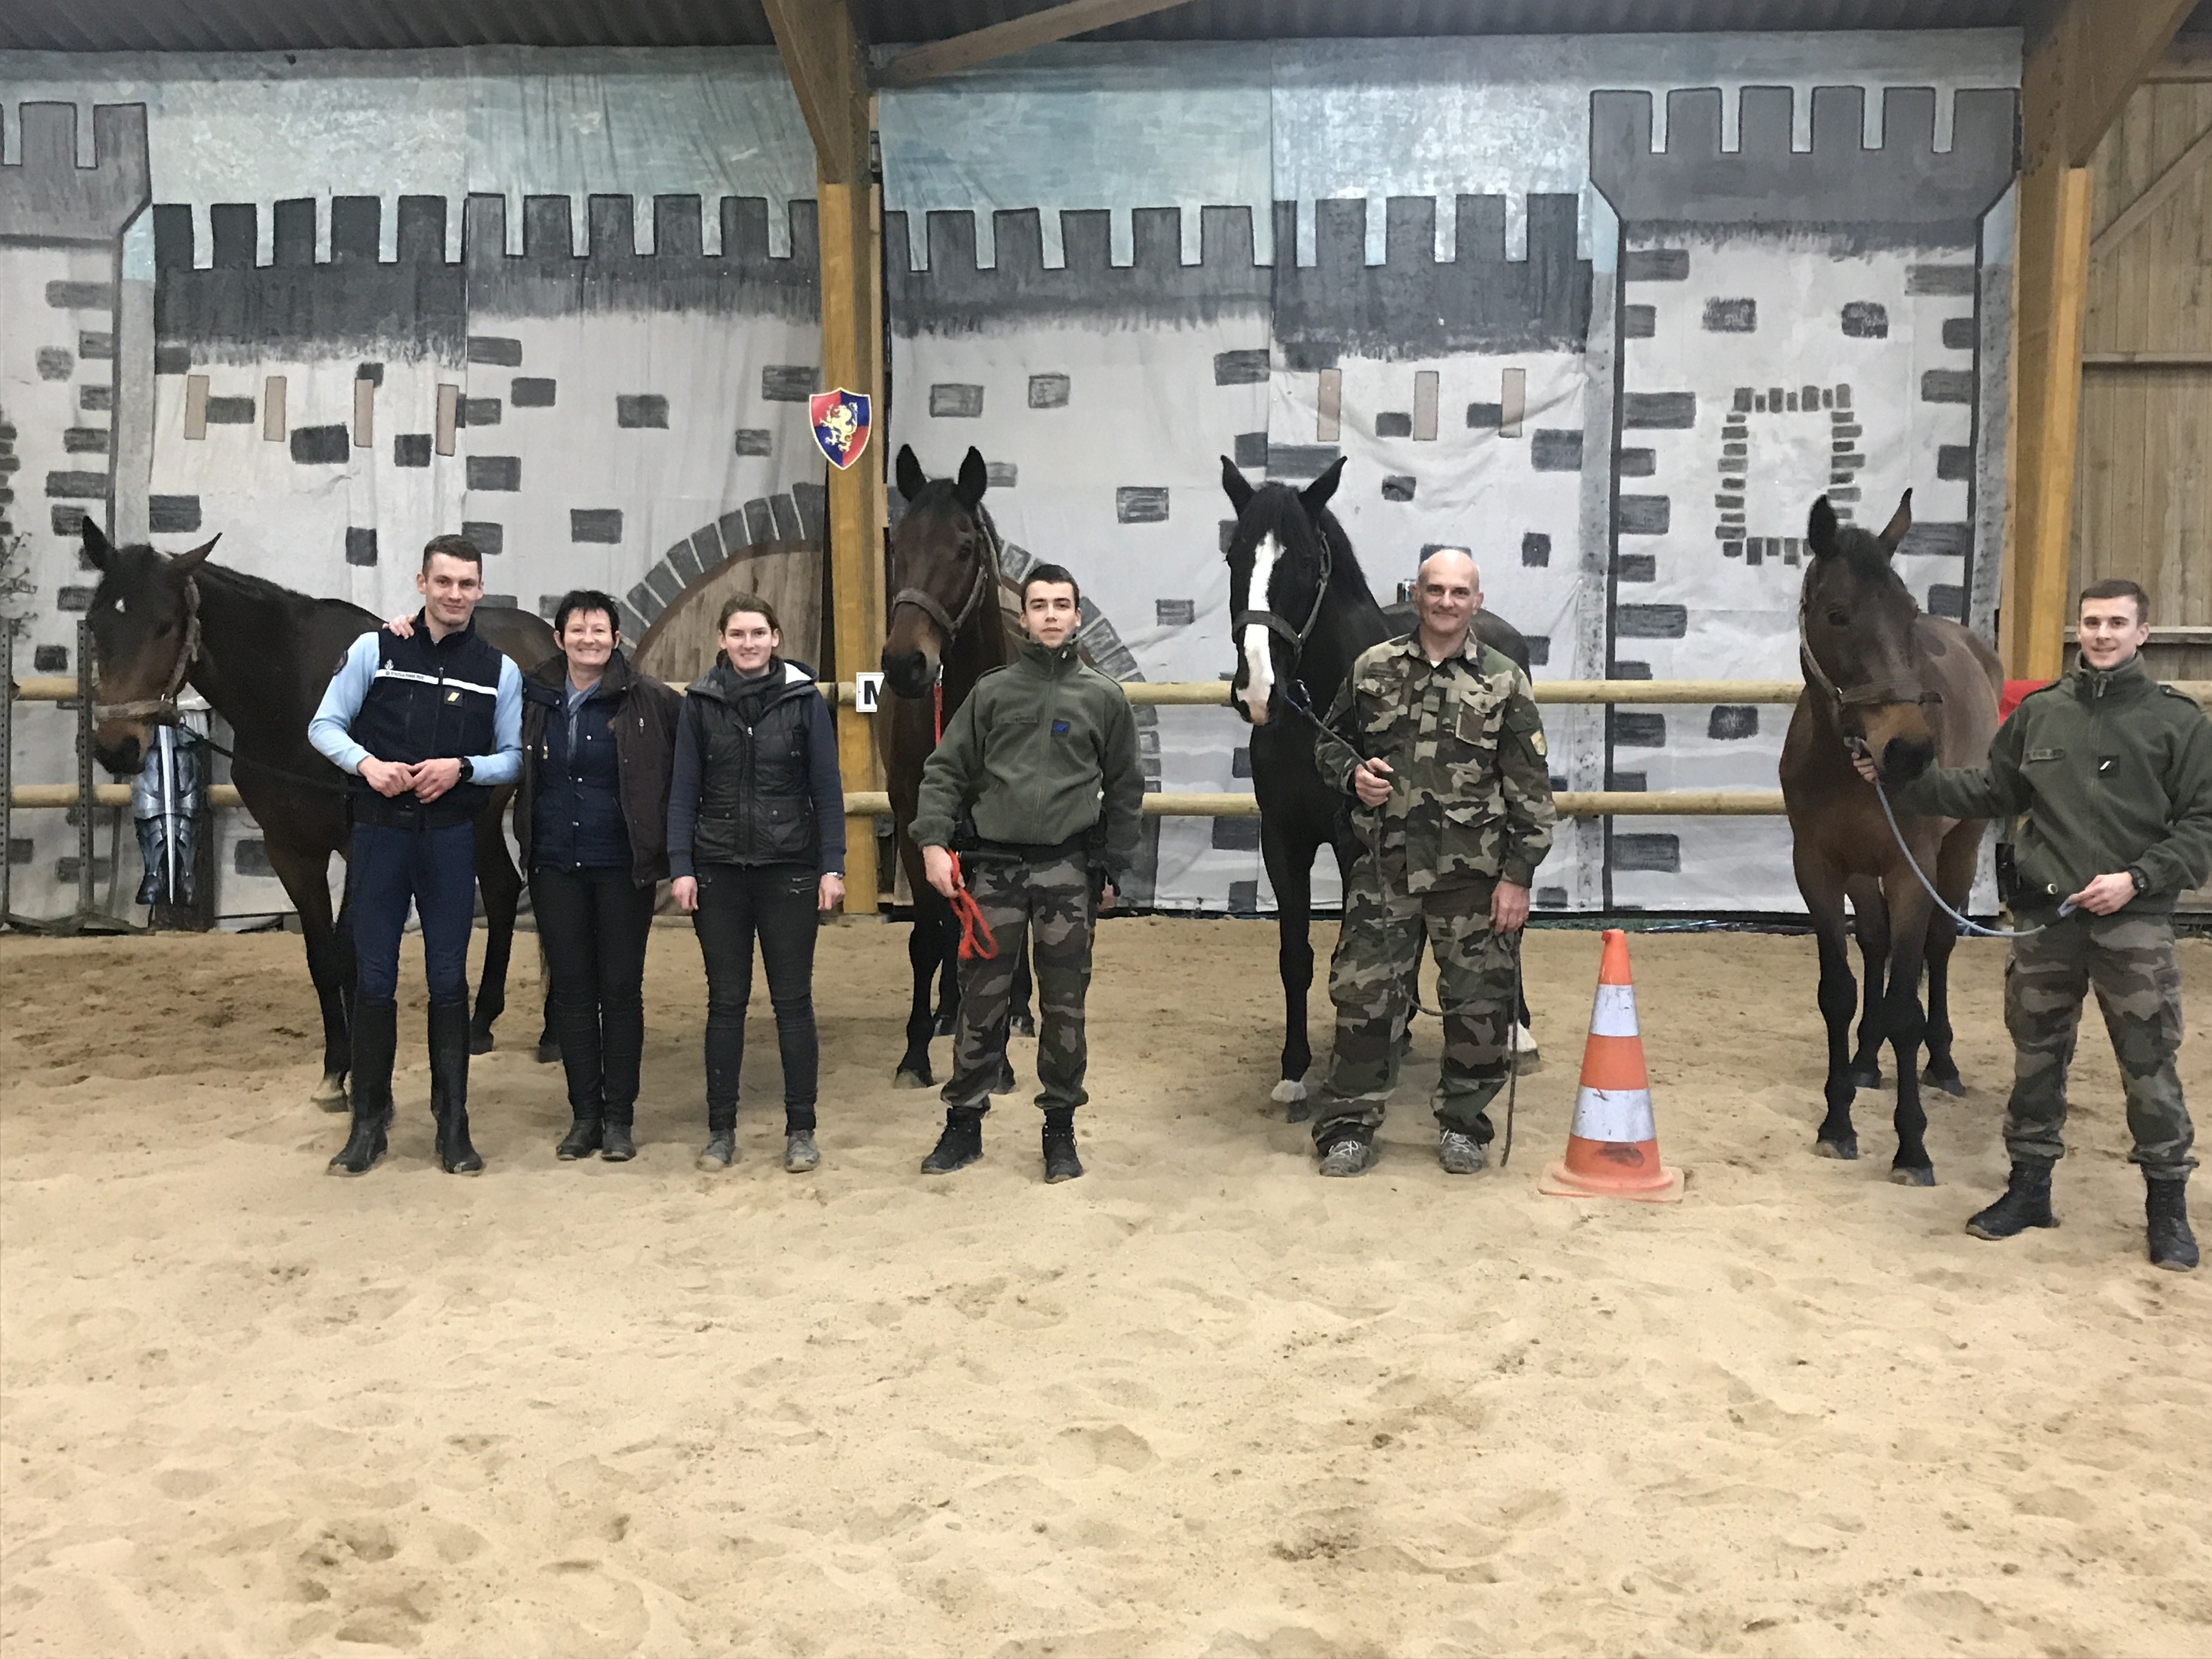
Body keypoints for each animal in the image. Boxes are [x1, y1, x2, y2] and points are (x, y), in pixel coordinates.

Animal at [81, 526, 557, 1110]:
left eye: (165, 625)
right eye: (96, 622)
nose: (118, 747)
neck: (292, 697)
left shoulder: (359, 841)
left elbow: (354, 952)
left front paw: (367, 1079)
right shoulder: (290, 850)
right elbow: (322, 958)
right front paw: (336, 1073)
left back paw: (550, 1035)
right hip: (481, 819)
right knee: (502, 889)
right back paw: (481, 1024)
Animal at [1778, 487, 2008, 1186]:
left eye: (1908, 613)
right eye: (1837, 614)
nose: (1908, 751)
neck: (1847, 765)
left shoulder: (1913, 871)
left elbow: (1908, 1004)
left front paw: (1912, 1148)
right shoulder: (1819, 869)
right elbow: (1839, 993)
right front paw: (1837, 1121)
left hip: (1959, 853)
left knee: (1939, 949)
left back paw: (1943, 1064)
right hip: (1865, 870)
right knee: (1876, 946)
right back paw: (1864, 1062)